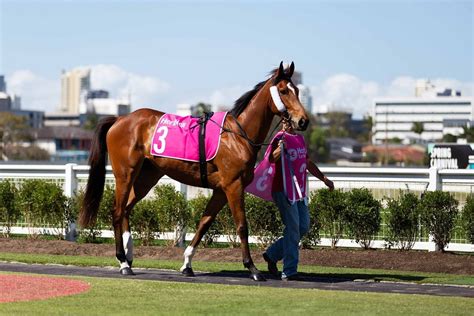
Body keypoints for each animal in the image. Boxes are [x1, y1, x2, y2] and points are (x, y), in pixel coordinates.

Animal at [79, 61, 310, 282]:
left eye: (297, 90)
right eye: (283, 90)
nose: (303, 121)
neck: (238, 135)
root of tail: (119, 119)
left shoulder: (221, 190)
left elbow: (204, 223)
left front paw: (187, 264)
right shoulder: (233, 186)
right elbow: (242, 226)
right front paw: (252, 268)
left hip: (147, 177)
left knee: (126, 209)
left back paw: (129, 256)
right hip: (125, 174)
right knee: (118, 211)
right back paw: (123, 261)